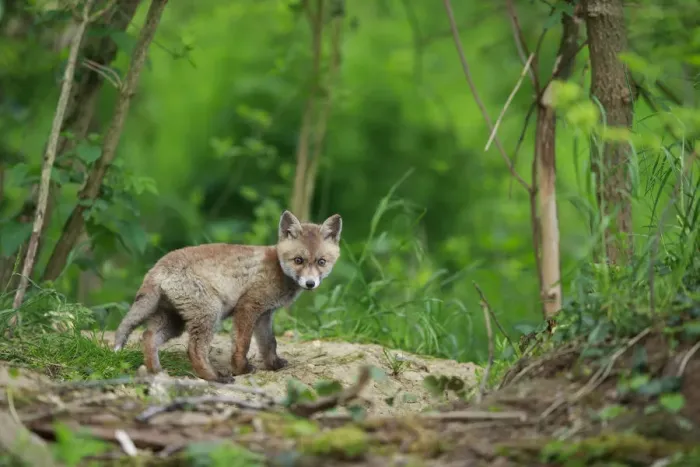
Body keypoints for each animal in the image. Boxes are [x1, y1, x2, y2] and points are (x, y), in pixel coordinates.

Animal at [112, 210, 342, 382]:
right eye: (298, 260)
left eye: (321, 262)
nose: (310, 283)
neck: (277, 267)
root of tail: (158, 267)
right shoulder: (248, 307)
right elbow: (242, 344)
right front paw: (241, 369)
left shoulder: (265, 315)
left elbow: (270, 343)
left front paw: (274, 365)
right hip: (209, 313)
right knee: (194, 349)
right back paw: (214, 377)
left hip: (173, 321)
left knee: (148, 336)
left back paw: (156, 372)